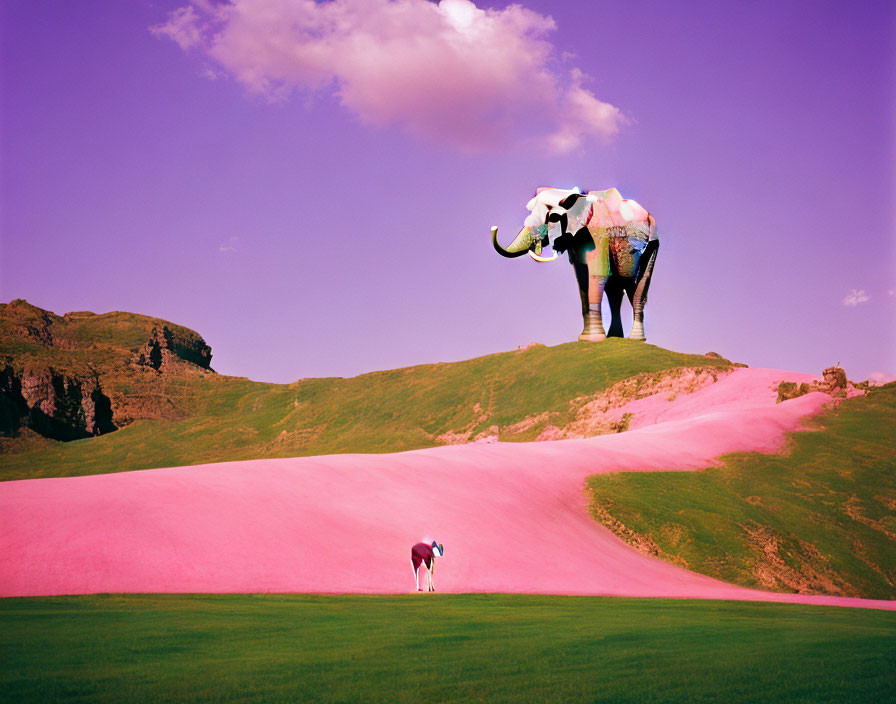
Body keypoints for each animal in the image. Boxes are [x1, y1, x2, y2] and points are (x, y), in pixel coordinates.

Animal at [490, 186, 656, 342]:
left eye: (553, 217)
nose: (494, 227)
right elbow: (581, 278)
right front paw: (585, 339)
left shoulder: (597, 234)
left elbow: (595, 275)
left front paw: (593, 340)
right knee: (617, 289)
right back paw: (616, 338)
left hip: (652, 242)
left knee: (638, 286)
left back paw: (636, 340)